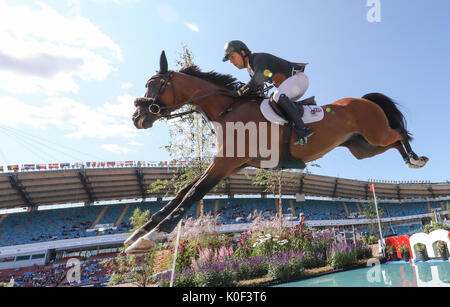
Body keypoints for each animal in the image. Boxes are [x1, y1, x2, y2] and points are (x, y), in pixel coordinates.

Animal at [124, 51, 428, 256]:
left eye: (154, 84)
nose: (137, 118)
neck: (227, 108)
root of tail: (364, 100)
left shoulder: (226, 162)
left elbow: (193, 192)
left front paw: (151, 236)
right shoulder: (230, 164)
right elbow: (184, 189)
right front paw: (139, 232)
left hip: (375, 135)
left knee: (399, 133)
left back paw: (416, 159)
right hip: (363, 148)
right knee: (393, 143)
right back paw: (410, 159)